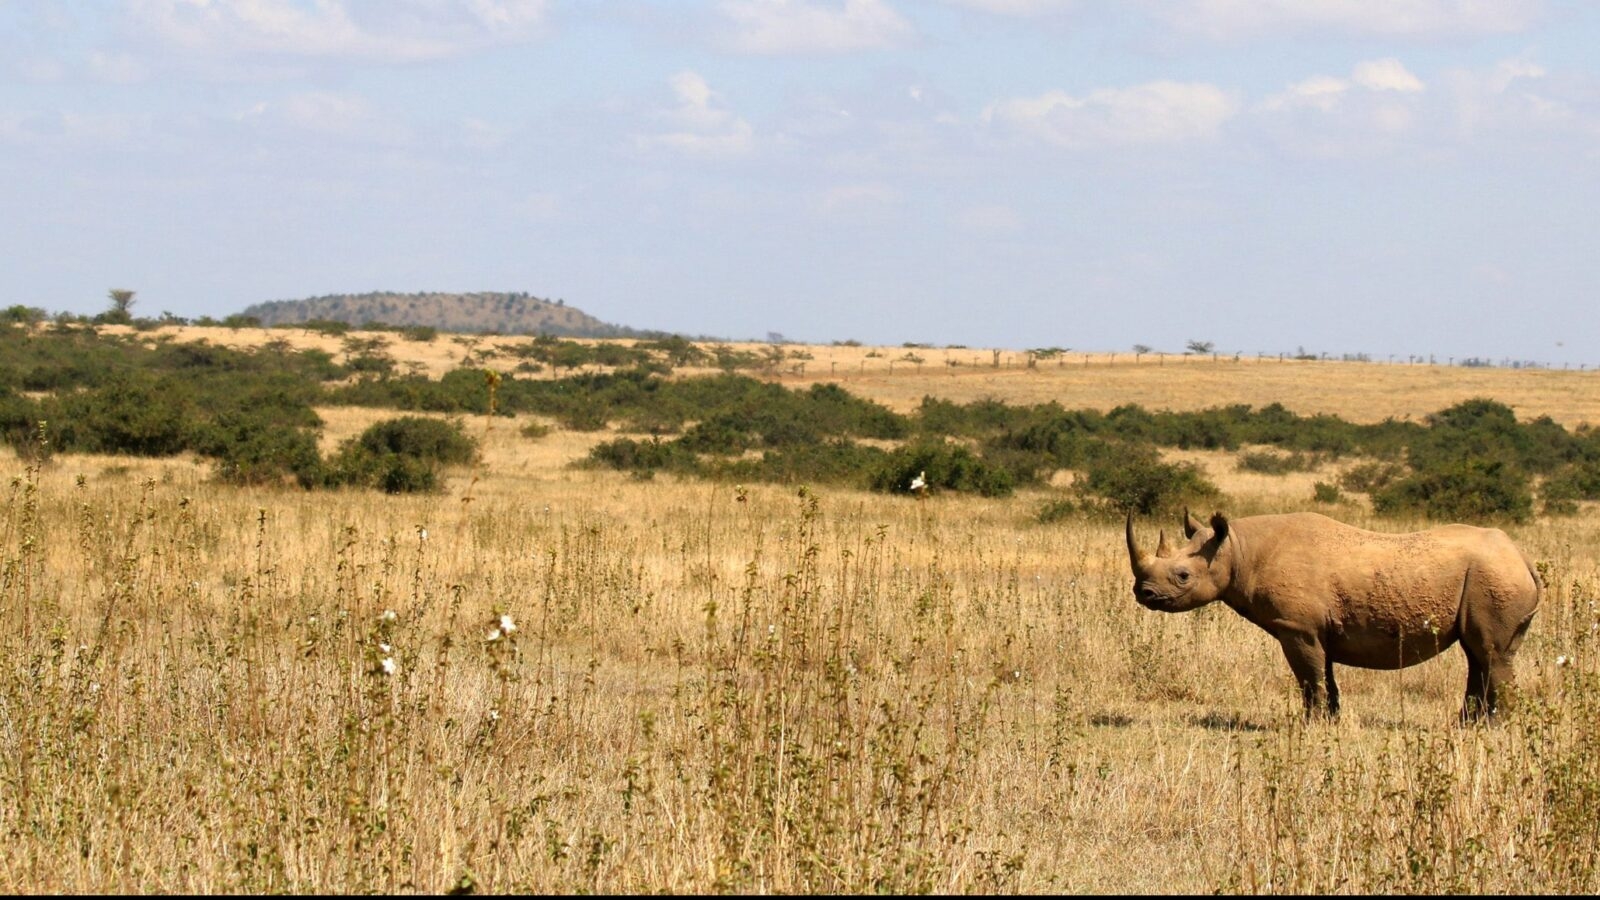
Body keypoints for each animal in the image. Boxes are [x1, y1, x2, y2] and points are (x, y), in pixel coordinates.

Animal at [1125, 509, 1541, 721]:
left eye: (1182, 576)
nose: (1143, 594)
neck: (1238, 550)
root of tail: (1523, 557)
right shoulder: (1314, 628)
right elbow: (1324, 673)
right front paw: (1333, 719)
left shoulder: (1296, 627)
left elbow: (1309, 676)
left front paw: (1311, 723)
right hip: (1491, 576)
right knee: (1478, 653)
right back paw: (1468, 724)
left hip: (1494, 576)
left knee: (1490, 652)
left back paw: (1493, 727)